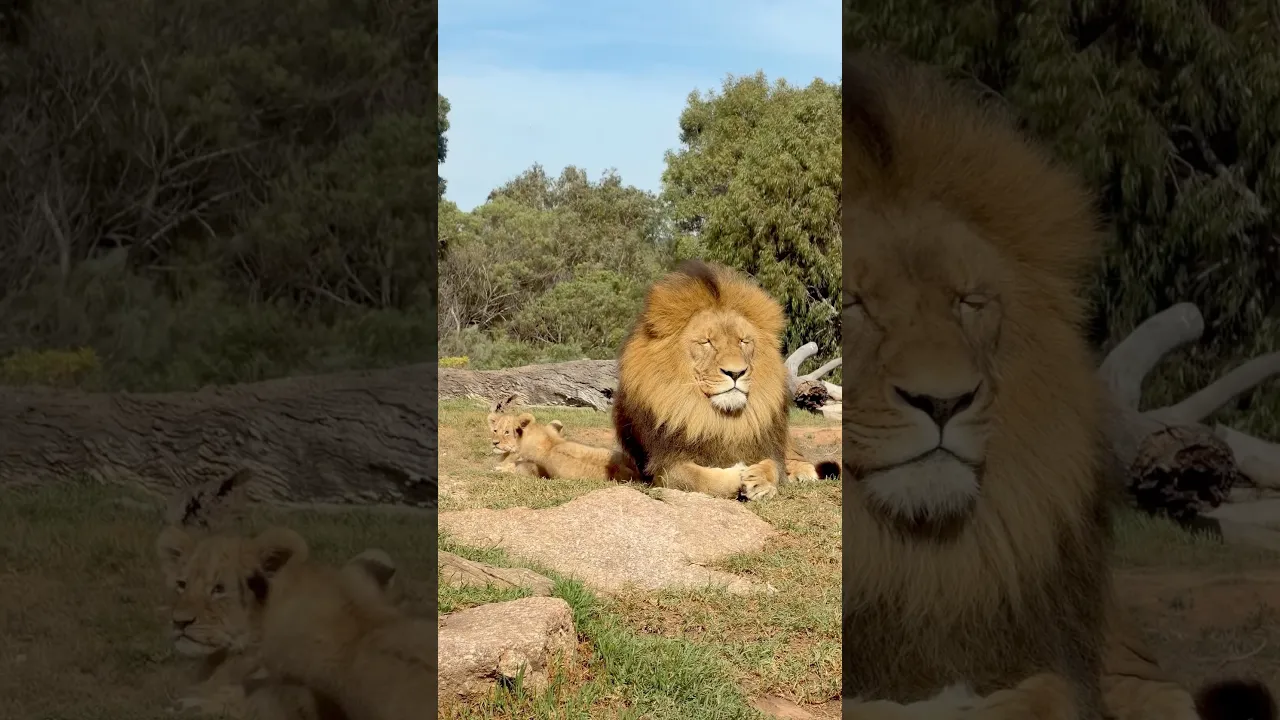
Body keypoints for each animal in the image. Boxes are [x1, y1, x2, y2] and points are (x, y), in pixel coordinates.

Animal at [612, 260, 791, 501]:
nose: (736, 372)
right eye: (707, 342)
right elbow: (700, 478)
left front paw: (760, 481)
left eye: (743, 341)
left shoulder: (768, 449)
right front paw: (737, 473)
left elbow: (773, 465)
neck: (717, 421)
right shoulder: (665, 466)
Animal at [841, 51, 1275, 720]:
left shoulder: (1115, 664)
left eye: (969, 302)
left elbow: (1078, 691)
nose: (944, 401)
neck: (921, 563)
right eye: (852, 303)